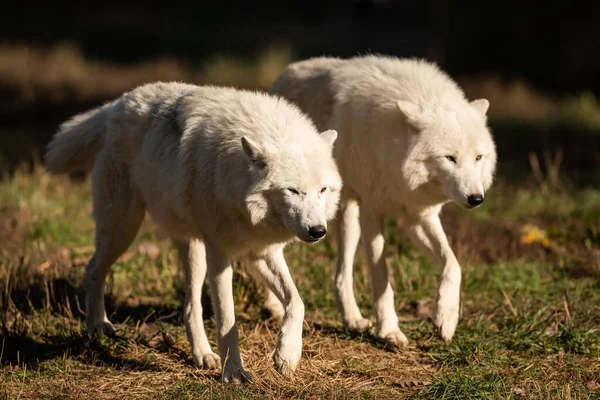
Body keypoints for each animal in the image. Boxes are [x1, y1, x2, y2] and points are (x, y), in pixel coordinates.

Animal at [42, 80, 342, 382]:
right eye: (293, 190)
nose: (318, 231)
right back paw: (97, 326)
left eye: (322, 190)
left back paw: (202, 354)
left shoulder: (261, 252)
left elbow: (297, 302)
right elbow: (227, 320)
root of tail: (119, 102)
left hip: (192, 251)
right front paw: (234, 372)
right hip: (123, 229)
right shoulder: (221, 255)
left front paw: (287, 355)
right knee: (93, 269)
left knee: (190, 305)